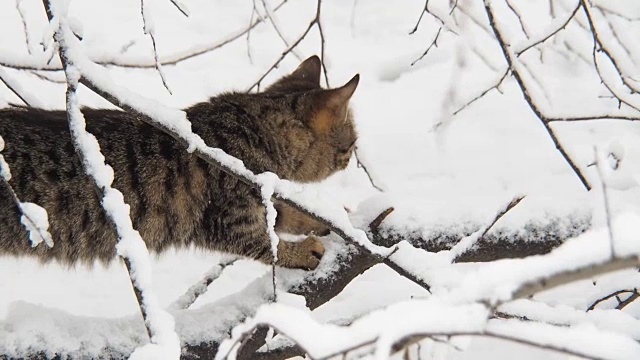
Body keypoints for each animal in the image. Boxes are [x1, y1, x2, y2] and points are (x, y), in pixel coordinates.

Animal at [0, 56, 360, 270]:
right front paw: (299, 252)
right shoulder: (227, 220)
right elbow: (265, 245)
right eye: (352, 145)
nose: (352, 159)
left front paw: (325, 220)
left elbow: (285, 213)